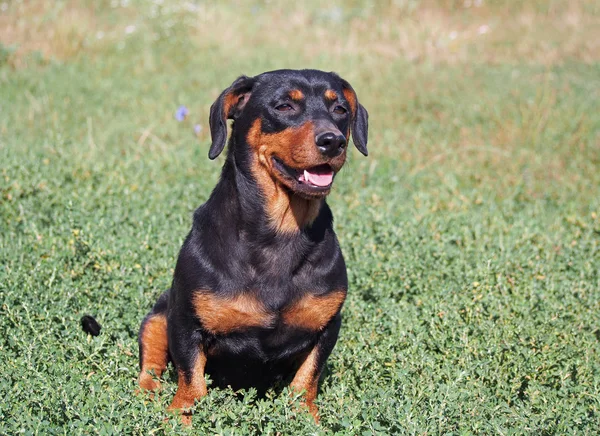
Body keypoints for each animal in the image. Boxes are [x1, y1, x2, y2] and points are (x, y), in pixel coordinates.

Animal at [138, 70, 368, 424]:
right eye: (284, 105)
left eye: (340, 109)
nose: (333, 141)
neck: (281, 231)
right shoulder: (185, 323)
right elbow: (191, 381)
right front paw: (180, 418)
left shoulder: (327, 327)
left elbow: (307, 379)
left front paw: (305, 419)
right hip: (157, 315)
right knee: (150, 361)